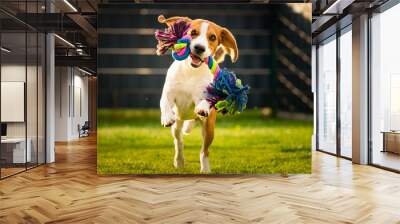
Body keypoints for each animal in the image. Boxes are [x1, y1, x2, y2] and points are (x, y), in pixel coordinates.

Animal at [159, 14, 239, 172]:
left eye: (212, 37)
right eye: (193, 32)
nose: (199, 48)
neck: (191, 71)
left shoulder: (206, 95)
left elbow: (206, 100)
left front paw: (202, 107)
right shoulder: (169, 92)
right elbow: (164, 102)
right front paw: (166, 117)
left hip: (209, 128)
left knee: (204, 150)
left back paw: (205, 169)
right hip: (177, 125)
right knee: (179, 141)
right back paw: (179, 161)